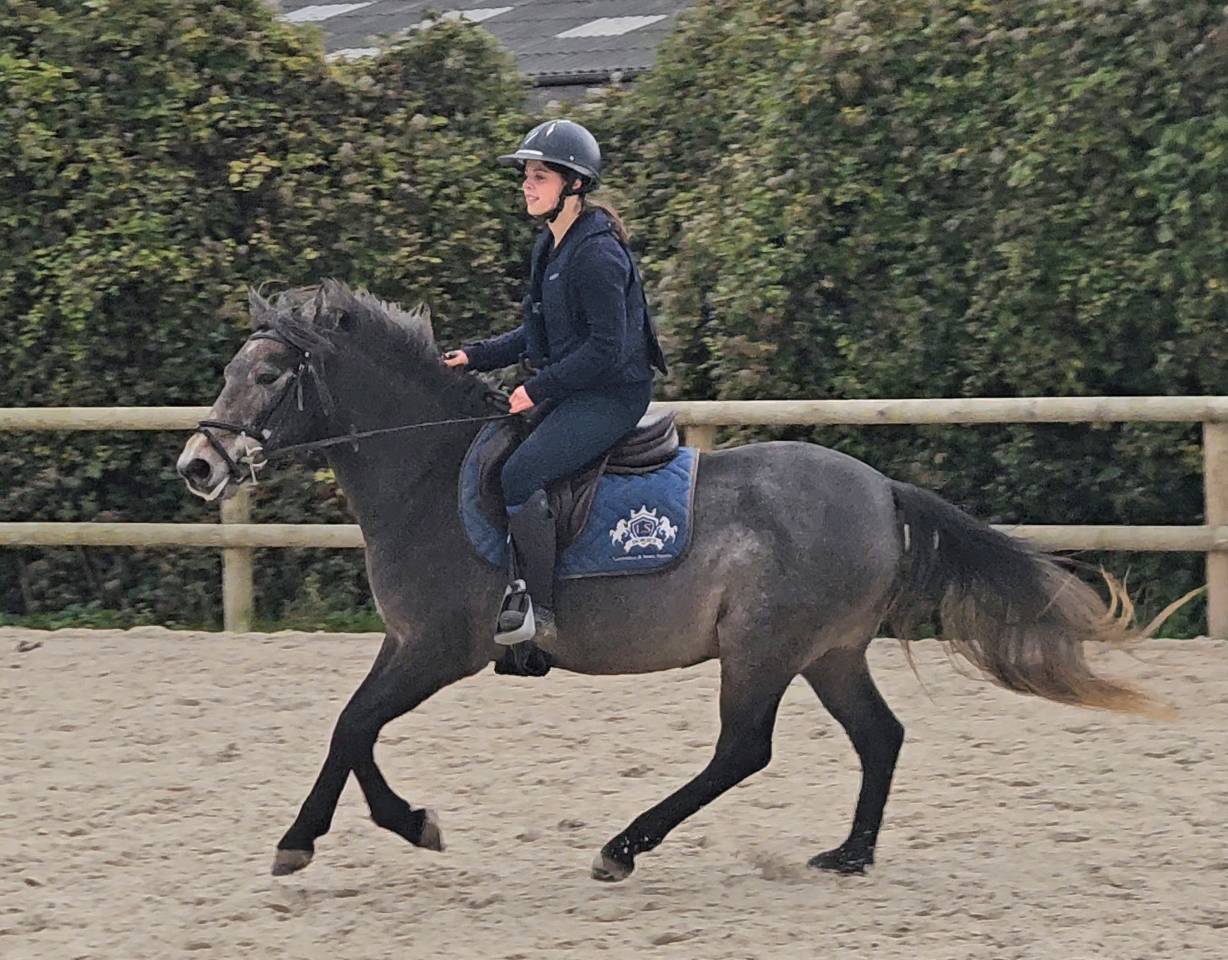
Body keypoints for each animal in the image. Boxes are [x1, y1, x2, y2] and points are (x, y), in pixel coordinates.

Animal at [177, 280, 1165, 882]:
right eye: (229, 369)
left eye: (269, 373)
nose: (198, 466)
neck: (425, 472)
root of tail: (881, 489)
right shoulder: (407, 644)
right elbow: (355, 730)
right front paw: (392, 824)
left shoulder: (438, 649)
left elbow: (353, 726)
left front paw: (313, 840)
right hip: (829, 652)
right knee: (878, 737)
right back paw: (848, 854)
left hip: (762, 649)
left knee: (743, 750)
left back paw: (624, 846)